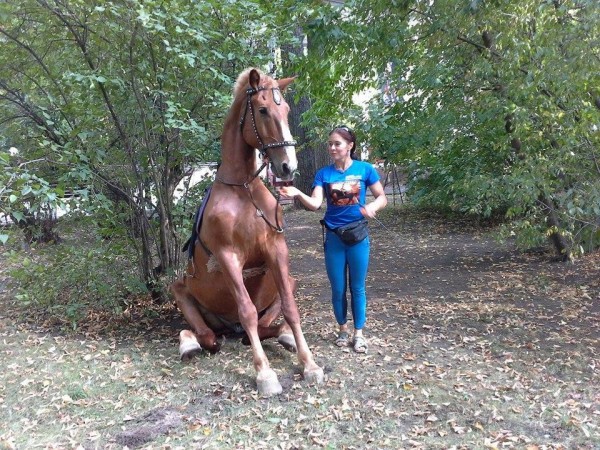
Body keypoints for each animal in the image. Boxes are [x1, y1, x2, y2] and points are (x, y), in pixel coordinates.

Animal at [170, 68, 324, 396]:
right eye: (263, 110)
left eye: (287, 110)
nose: (287, 167)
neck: (243, 190)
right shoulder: (229, 257)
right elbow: (247, 311)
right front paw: (265, 374)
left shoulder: (276, 249)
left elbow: (290, 310)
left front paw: (310, 364)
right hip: (181, 291)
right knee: (205, 334)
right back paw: (189, 345)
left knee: (262, 328)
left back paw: (285, 337)